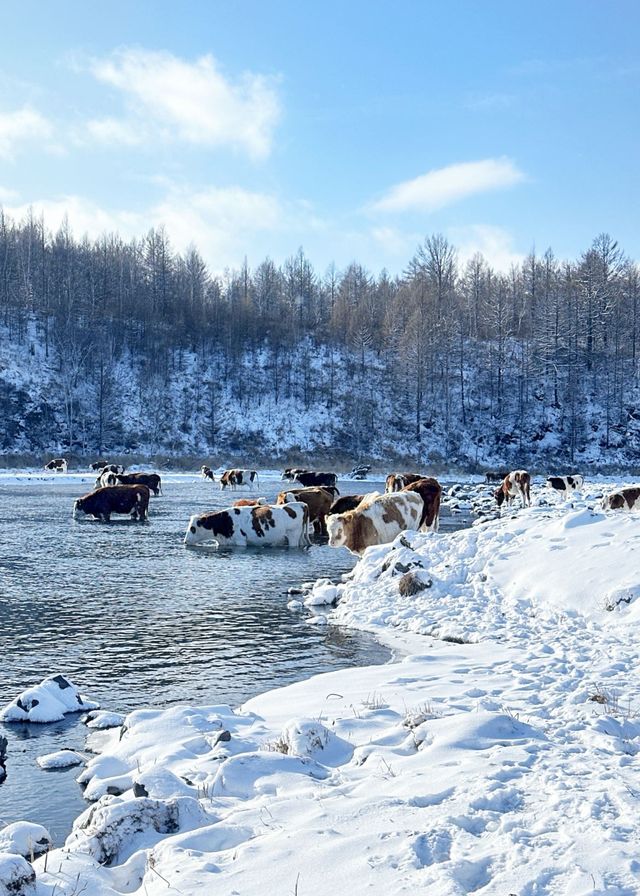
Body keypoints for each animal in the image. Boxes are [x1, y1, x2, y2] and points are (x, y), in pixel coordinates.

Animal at [184, 500, 312, 548]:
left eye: (193, 528)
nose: (185, 541)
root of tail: (302, 504)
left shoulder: (240, 541)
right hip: (300, 537)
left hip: (293, 536)